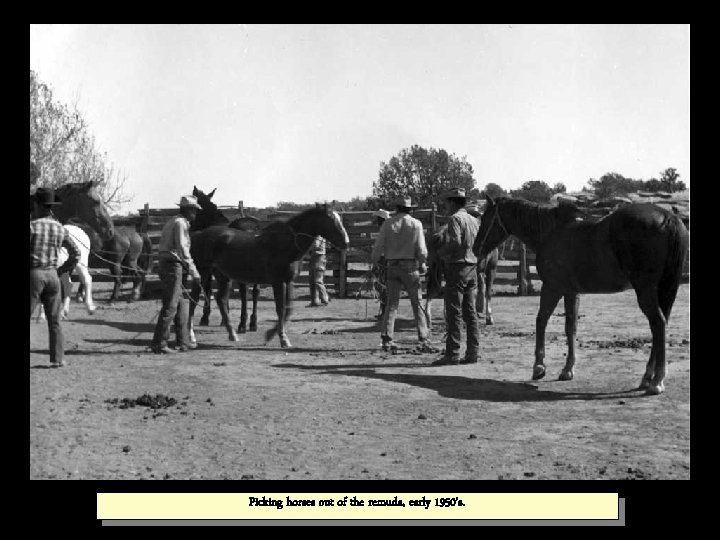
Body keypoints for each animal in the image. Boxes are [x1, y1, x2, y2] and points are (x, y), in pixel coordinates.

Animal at [188, 186, 262, 334]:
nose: (191, 227)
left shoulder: (210, 270)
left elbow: (208, 289)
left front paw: (205, 318)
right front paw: (224, 319)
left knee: (244, 292)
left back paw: (242, 324)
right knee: (255, 291)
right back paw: (252, 323)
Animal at [188, 205, 348, 348]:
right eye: (330, 220)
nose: (346, 242)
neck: (286, 244)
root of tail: (198, 235)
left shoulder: (288, 281)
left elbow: (288, 309)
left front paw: (271, 334)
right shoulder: (277, 282)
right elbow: (280, 309)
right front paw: (283, 339)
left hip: (223, 277)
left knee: (221, 300)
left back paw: (232, 334)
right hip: (203, 273)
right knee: (194, 299)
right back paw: (191, 335)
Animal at [472, 196, 688, 394]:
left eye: (485, 218)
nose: (475, 248)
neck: (551, 232)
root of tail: (668, 217)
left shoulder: (552, 287)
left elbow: (541, 320)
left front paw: (539, 366)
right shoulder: (571, 292)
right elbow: (571, 327)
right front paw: (567, 370)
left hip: (645, 289)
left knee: (658, 323)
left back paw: (657, 381)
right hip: (663, 288)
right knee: (660, 325)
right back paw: (648, 377)